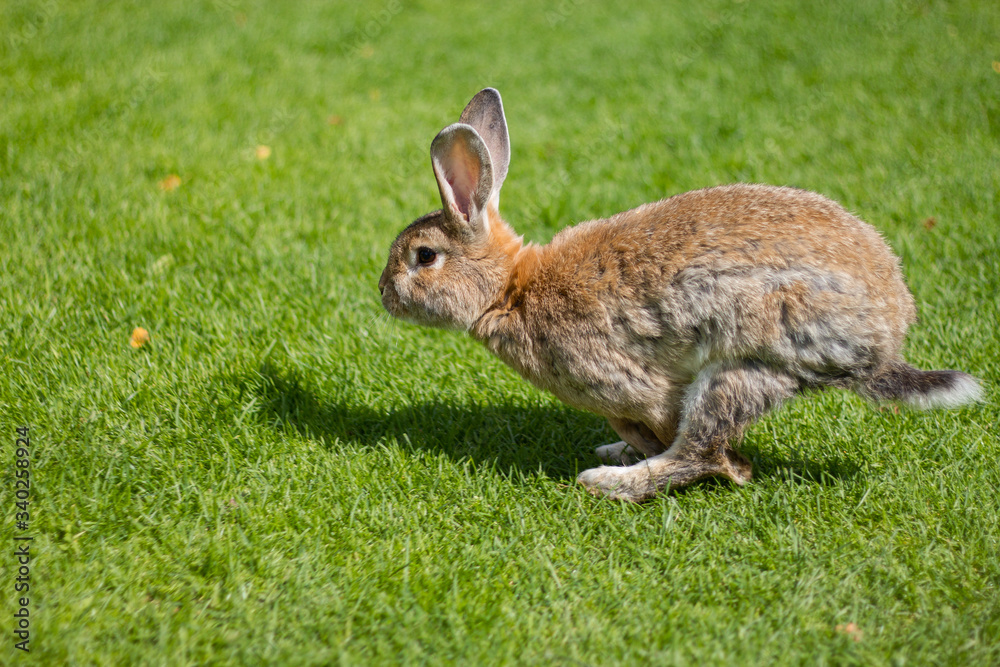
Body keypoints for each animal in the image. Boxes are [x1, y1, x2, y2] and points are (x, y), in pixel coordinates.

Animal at [378, 88, 983, 502]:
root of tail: (883, 344)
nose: (383, 293)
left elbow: (670, 429)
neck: (509, 289)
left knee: (700, 450)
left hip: (741, 366)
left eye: (423, 257)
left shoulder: (630, 386)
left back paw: (608, 480)